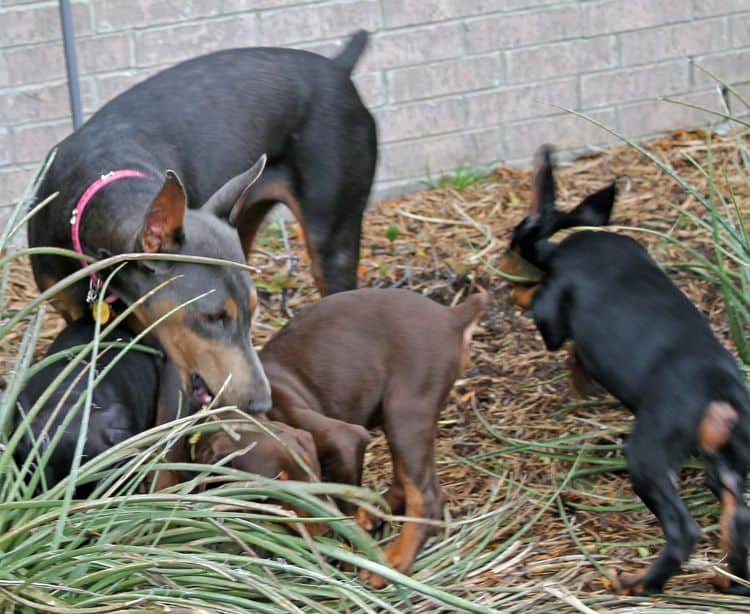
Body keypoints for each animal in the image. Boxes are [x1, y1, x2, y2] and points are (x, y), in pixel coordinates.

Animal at [262, 288, 490, 588]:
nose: (320, 534)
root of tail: (451, 316)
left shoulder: (344, 439)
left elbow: (345, 506)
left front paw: (350, 552)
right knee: (405, 480)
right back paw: (376, 513)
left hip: (406, 409)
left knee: (427, 497)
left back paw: (393, 562)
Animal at [500, 144, 750, 596]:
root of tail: (720, 394)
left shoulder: (551, 314)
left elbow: (545, 314)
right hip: (726, 464)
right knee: (737, 516)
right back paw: (730, 580)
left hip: (647, 455)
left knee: (683, 531)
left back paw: (638, 583)